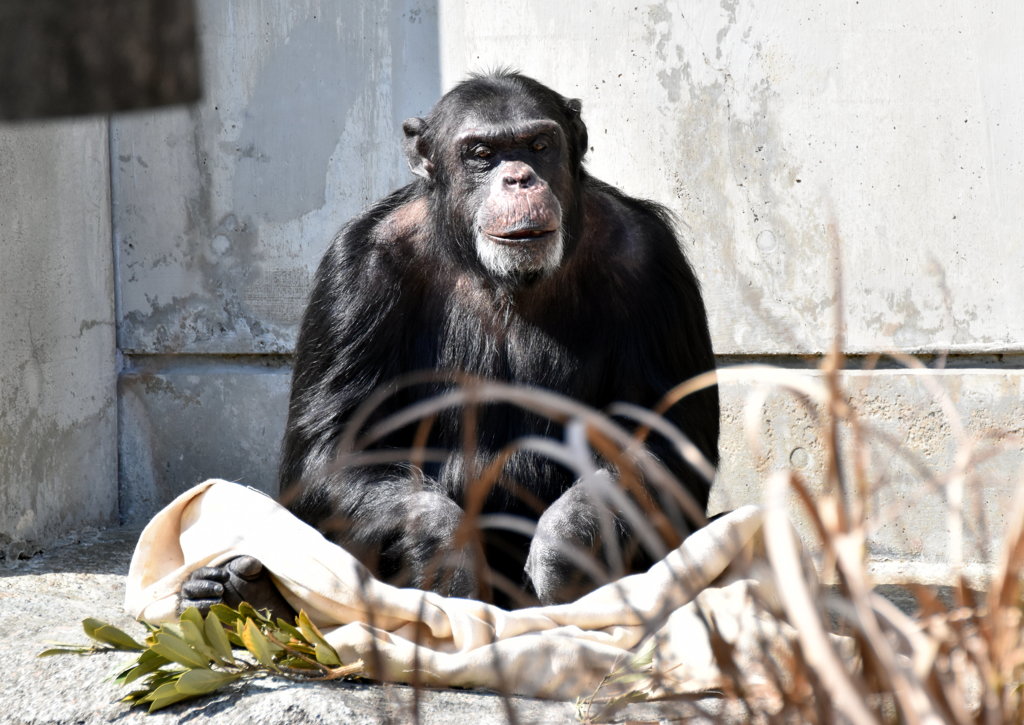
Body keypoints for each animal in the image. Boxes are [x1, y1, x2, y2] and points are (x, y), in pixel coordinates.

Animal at [178, 72, 720, 610]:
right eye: (482, 153)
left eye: (538, 144)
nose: (519, 177)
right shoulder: (355, 271)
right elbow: (336, 449)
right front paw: (442, 547)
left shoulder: (652, 260)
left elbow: (662, 438)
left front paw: (566, 543)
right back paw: (238, 590)